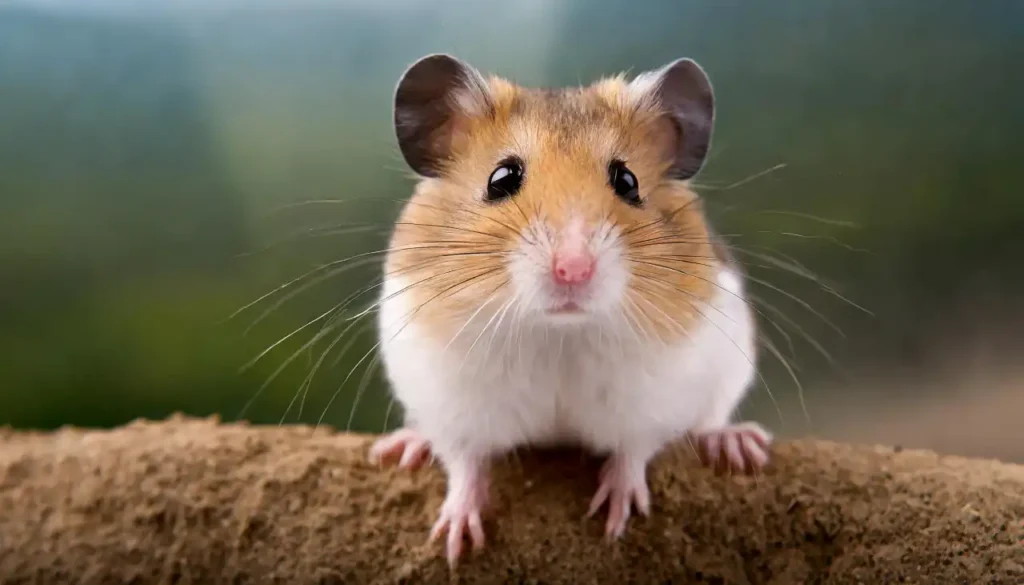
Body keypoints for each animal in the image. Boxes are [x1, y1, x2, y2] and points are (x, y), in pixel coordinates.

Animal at [368, 53, 772, 566]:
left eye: (627, 181)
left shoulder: (656, 400)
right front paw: (456, 543)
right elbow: (464, 464)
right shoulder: (450, 403)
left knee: (710, 421)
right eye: (501, 179)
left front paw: (616, 520)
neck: (558, 334)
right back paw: (403, 447)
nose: (573, 269)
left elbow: (633, 451)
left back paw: (737, 444)